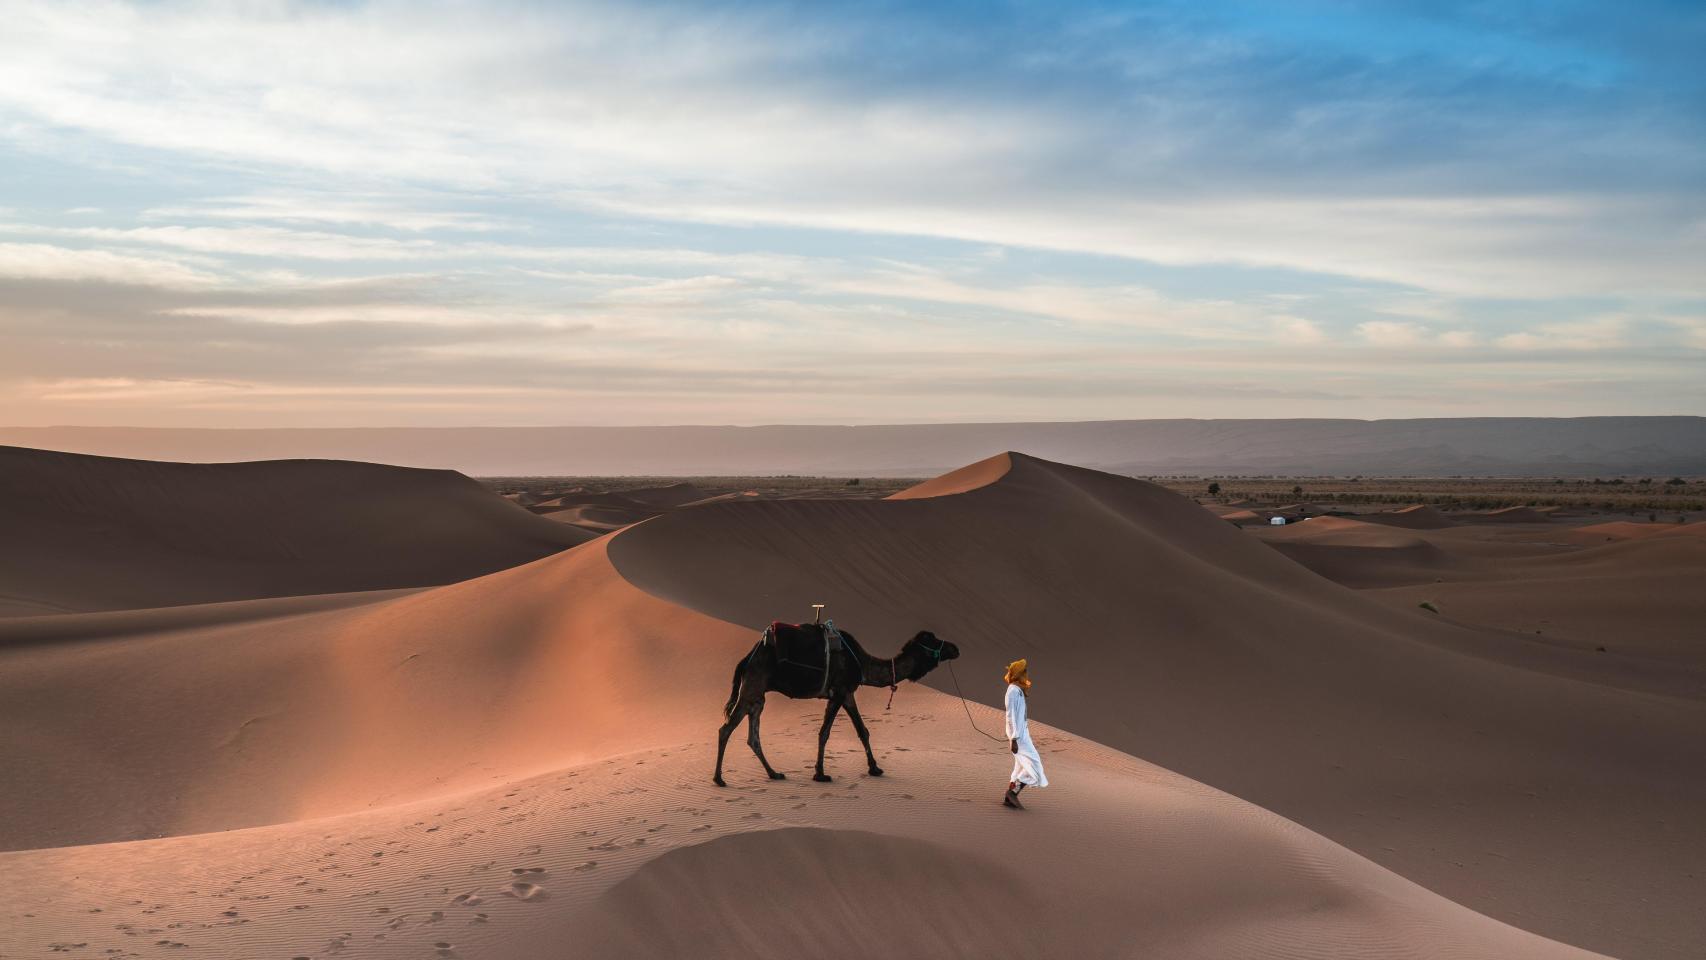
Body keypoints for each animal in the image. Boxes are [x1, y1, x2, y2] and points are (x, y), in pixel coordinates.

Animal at [709, 624, 962, 787]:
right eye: (932, 640)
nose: (955, 648)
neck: (862, 663)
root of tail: (747, 658)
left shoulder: (848, 693)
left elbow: (863, 730)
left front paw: (875, 768)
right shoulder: (839, 692)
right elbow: (825, 733)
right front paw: (821, 774)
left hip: (758, 697)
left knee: (753, 736)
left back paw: (774, 774)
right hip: (752, 687)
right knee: (725, 729)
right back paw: (719, 779)